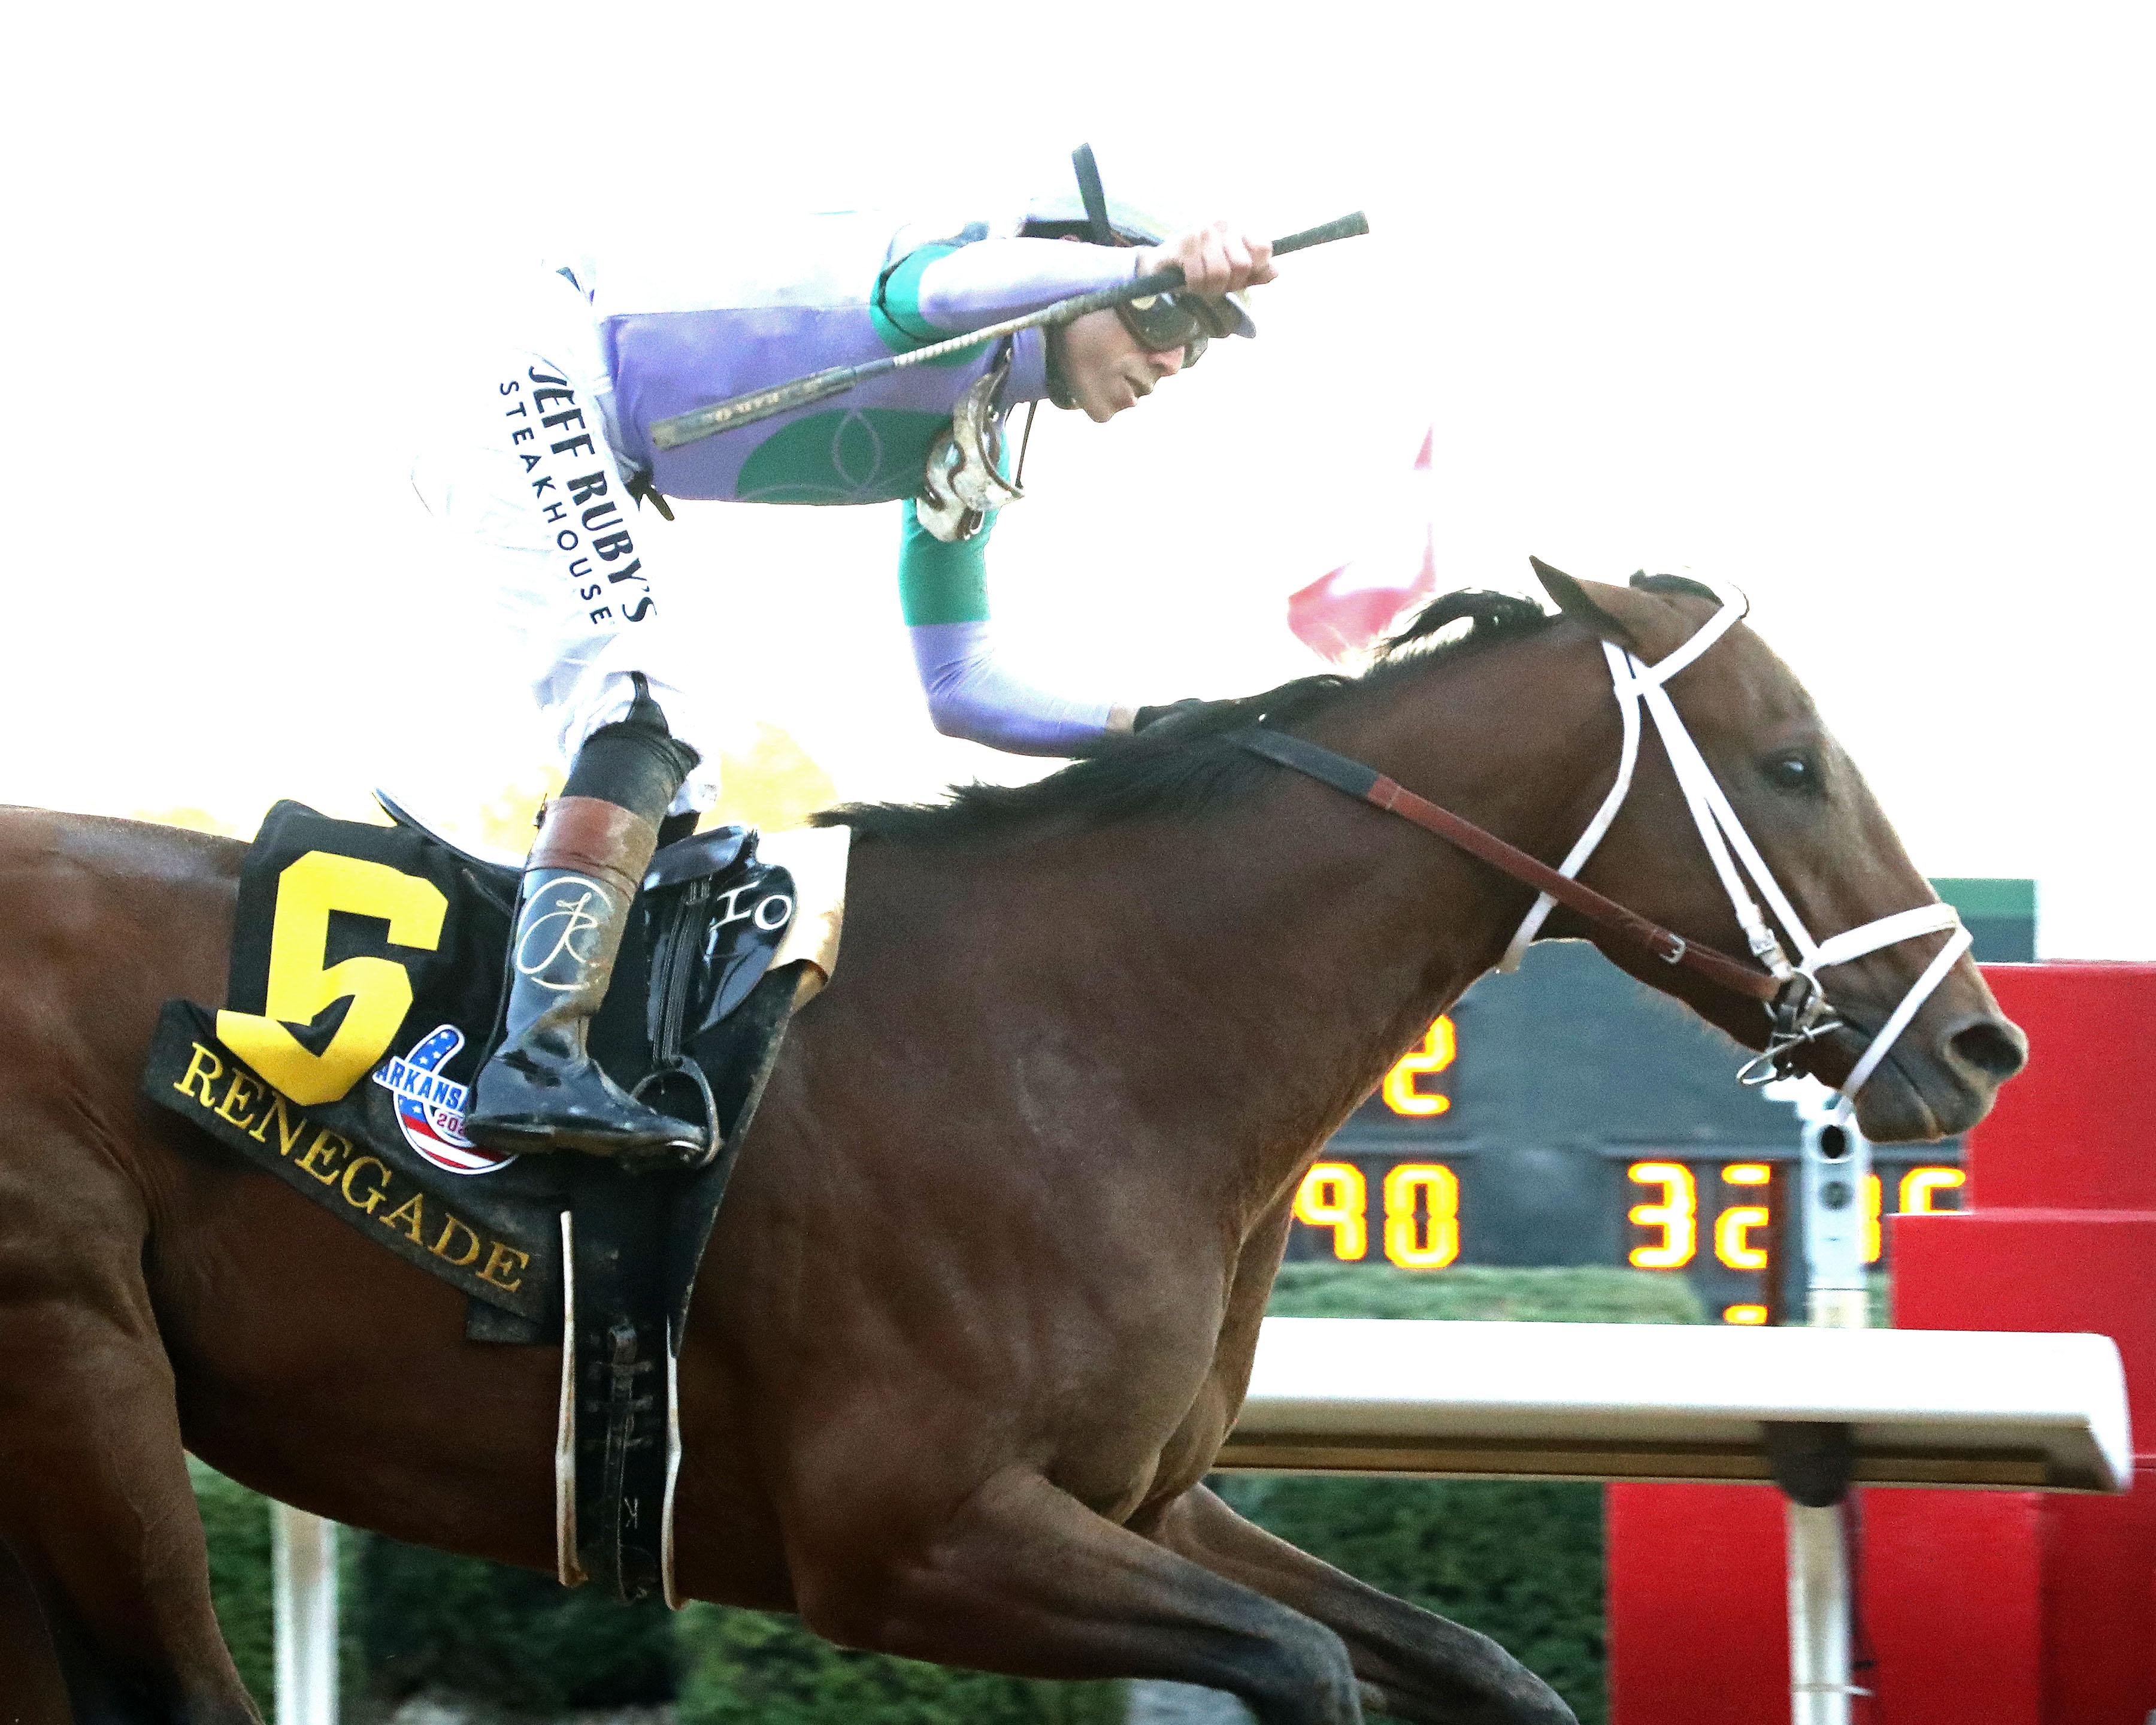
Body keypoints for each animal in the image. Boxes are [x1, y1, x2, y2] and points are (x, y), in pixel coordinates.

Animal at [0, 565, 2026, 1724]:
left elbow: (1474, 1663)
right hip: (81, 1375)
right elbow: (1303, 1669)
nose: (1981, 1043)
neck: (1091, 1030)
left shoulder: (1140, 1499)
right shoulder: (905, 1535)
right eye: (1791, 762)